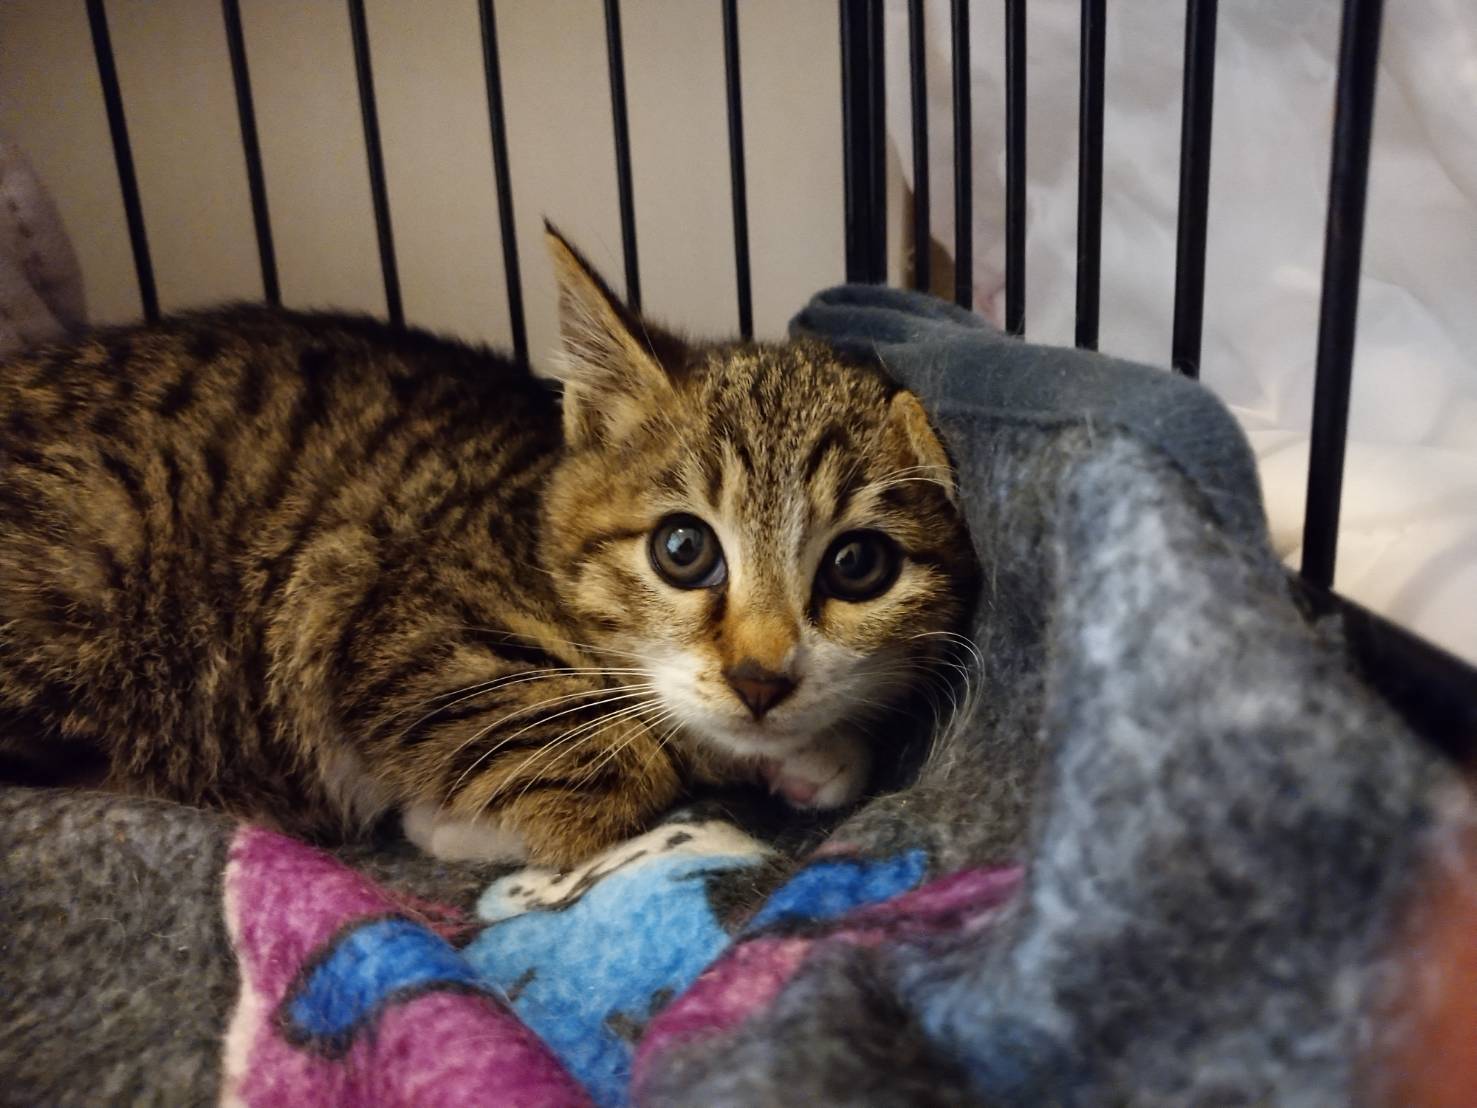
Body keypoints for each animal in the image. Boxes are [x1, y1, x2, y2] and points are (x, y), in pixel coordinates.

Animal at [0, 227, 980, 868]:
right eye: (683, 549)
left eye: (857, 566)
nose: (760, 679)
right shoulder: (386, 621)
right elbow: (619, 771)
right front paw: (451, 825)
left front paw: (807, 752)